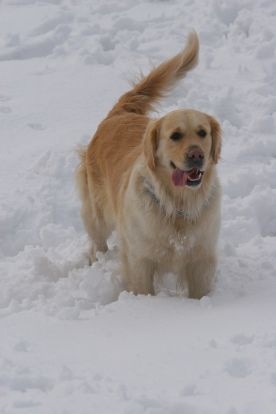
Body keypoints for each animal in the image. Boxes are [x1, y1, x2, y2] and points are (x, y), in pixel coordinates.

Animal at [76, 32, 222, 298]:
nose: (196, 155)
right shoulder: (139, 259)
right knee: (97, 241)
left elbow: (200, 291)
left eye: (202, 132)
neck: (177, 205)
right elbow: (143, 289)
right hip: (97, 212)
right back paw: (97, 263)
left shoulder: (202, 258)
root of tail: (119, 113)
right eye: (175, 135)